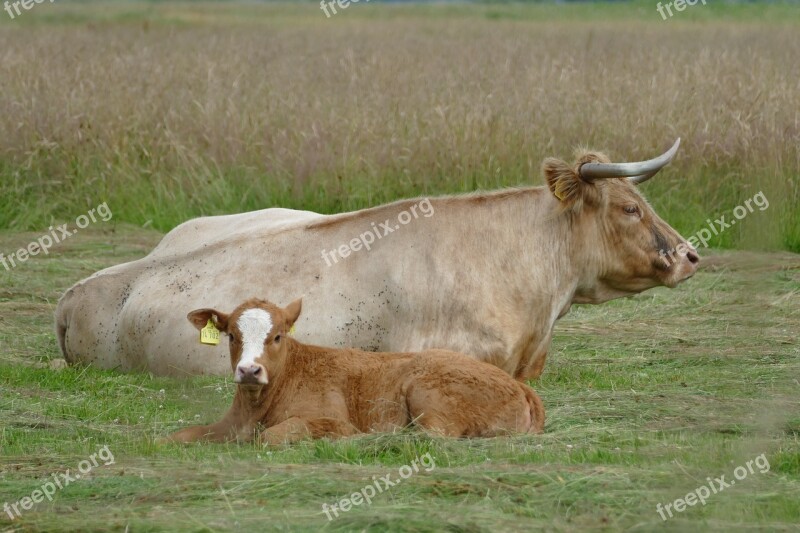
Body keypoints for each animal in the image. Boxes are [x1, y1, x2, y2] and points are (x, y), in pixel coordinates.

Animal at [166, 298, 548, 442]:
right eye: (232, 335)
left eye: (277, 336)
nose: (249, 371)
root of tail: (520, 386)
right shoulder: (227, 425)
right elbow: (177, 435)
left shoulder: (333, 421)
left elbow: (273, 436)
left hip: (426, 392)